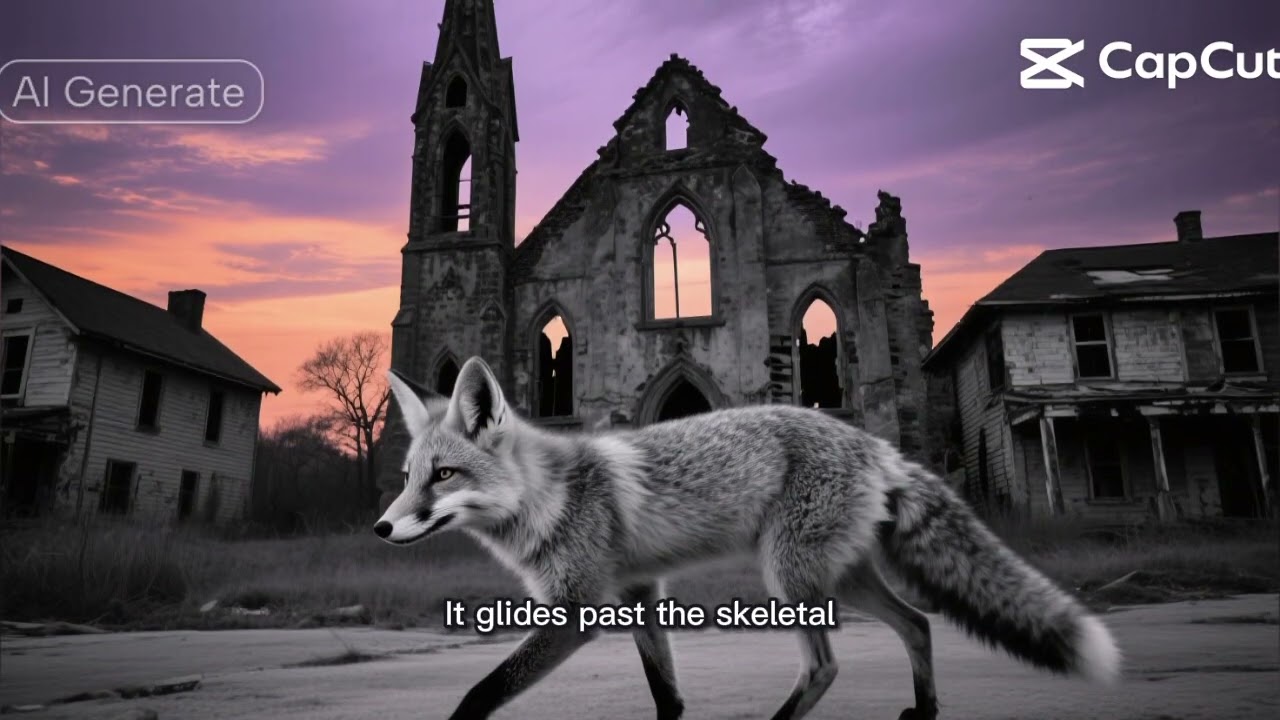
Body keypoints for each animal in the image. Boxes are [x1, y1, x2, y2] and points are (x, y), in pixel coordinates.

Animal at [375, 356, 1121, 720]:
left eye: (443, 475)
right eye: (408, 477)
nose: (381, 527)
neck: (549, 495)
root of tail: (876, 444)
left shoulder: (580, 611)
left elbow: (479, 695)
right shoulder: (640, 593)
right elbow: (667, 696)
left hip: (789, 578)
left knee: (824, 666)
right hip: (838, 577)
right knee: (918, 624)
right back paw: (925, 711)